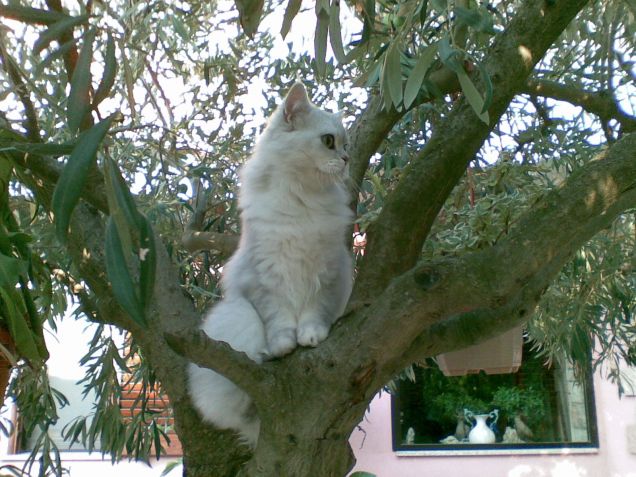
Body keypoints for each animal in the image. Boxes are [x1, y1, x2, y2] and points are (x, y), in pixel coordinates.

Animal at [186, 82, 356, 446]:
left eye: (346, 144)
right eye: (329, 142)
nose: (347, 159)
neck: (302, 200)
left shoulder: (327, 272)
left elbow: (313, 313)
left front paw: (311, 336)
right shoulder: (263, 278)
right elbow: (279, 319)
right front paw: (284, 345)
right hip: (240, 314)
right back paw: (266, 359)